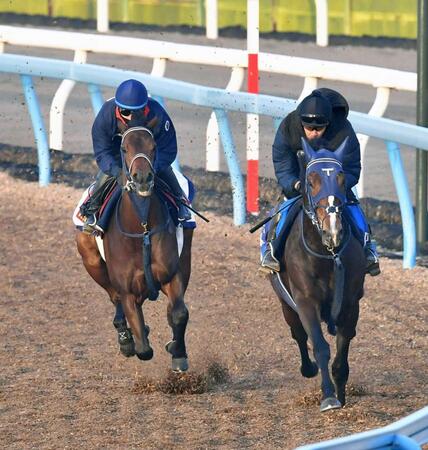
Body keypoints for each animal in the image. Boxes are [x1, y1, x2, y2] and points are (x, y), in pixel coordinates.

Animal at [75, 124, 192, 372]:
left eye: (153, 146)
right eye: (124, 148)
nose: (143, 178)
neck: (142, 228)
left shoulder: (172, 274)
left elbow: (179, 314)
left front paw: (177, 352)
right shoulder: (126, 289)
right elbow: (144, 350)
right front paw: (133, 338)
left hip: (186, 256)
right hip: (93, 262)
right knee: (114, 298)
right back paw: (126, 337)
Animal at [270, 137, 364, 412]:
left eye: (342, 179)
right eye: (310, 181)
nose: (334, 230)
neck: (327, 254)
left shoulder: (350, 302)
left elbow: (344, 344)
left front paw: (341, 391)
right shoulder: (305, 300)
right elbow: (320, 346)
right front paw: (329, 396)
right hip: (285, 302)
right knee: (299, 334)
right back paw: (308, 368)